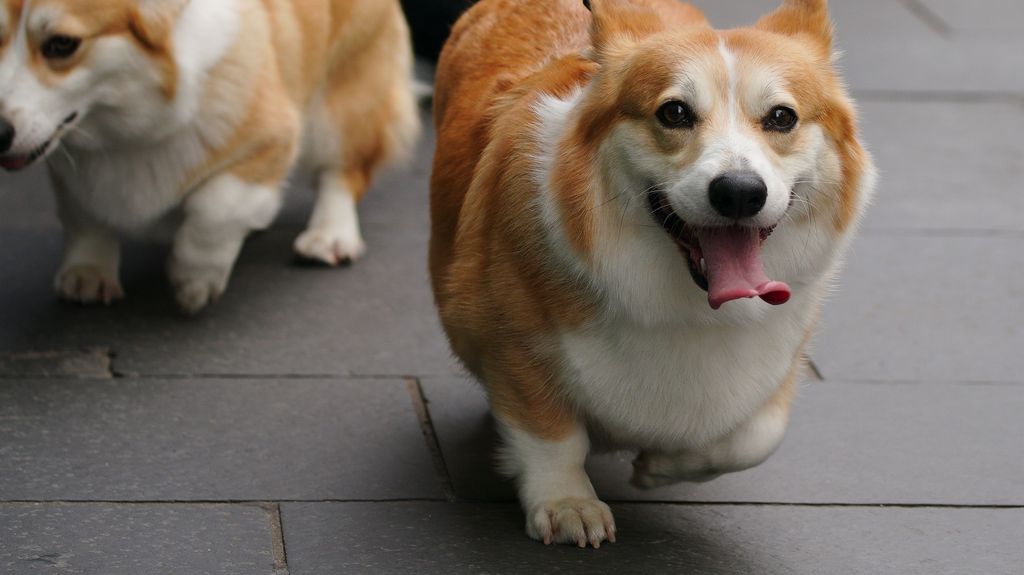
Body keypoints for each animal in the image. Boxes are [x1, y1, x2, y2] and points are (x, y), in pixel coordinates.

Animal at [2, 1, 419, 313]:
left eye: (62, 44)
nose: (0, 134)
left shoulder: (273, 136)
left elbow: (216, 206)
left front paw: (195, 280)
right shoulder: (67, 163)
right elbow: (83, 214)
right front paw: (88, 272)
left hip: (341, 102)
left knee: (342, 170)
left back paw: (329, 236)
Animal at [430, 0, 872, 544]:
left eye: (782, 117)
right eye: (674, 112)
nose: (740, 192)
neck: (688, 303)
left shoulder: (781, 356)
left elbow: (756, 437)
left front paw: (662, 467)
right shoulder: (513, 340)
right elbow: (551, 436)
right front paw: (567, 504)